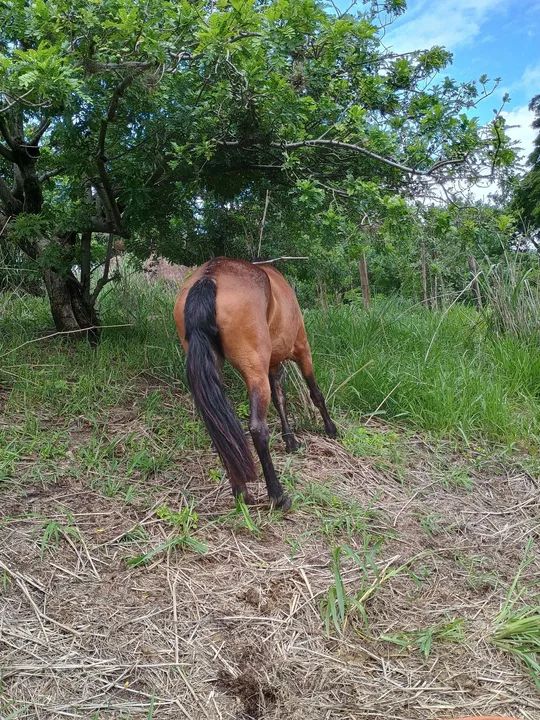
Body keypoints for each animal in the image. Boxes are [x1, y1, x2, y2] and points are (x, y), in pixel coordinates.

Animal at [173, 257, 337, 511]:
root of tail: (210, 275)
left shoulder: (274, 365)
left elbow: (280, 400)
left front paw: (291, 441)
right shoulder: (302, 349)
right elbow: (315, 392)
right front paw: (331, 429)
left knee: (221, 429)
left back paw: (241, 492)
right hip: (256, 371)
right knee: (258, 429)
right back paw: (277, 495)